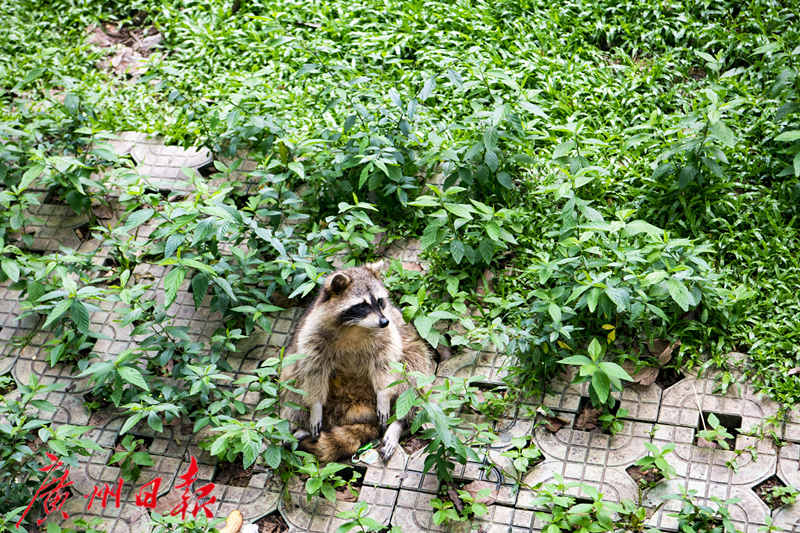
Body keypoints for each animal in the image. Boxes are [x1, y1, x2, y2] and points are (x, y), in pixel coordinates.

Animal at [280, 260, 434, 460]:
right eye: (362, 305)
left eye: (380, 301)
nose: (384, 322)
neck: (354, 326)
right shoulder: (312, 332)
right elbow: (312, 368)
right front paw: (315, 407)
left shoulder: (387, 333)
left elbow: (387, 360)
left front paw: (384, 395)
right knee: (292, 378)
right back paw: (300, 427)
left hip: (413, 356)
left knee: (413, 370)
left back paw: (398, 423)